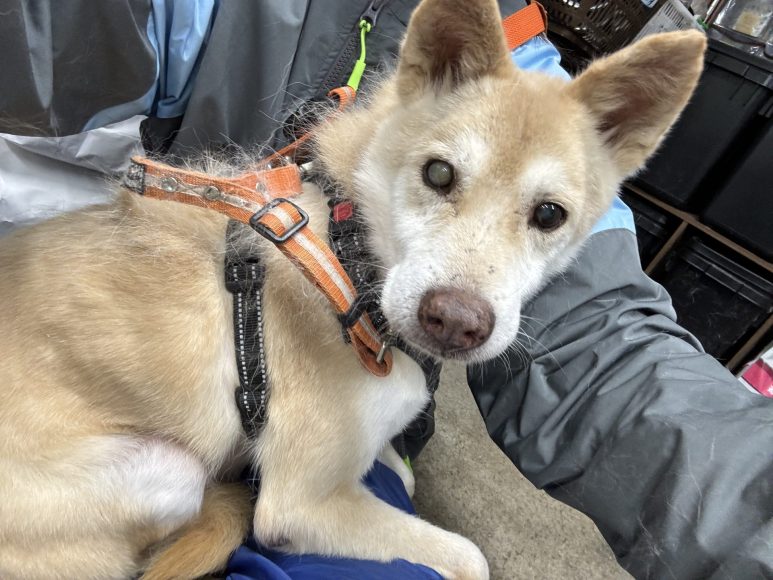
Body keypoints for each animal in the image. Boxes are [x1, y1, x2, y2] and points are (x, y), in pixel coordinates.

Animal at [0, 0, 705, 577]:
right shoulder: (299, 506)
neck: (350, 263)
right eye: (439, 173)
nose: (455, 320)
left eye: (550, 214)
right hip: (166, 471)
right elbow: (469, 558)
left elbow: (394, 470)